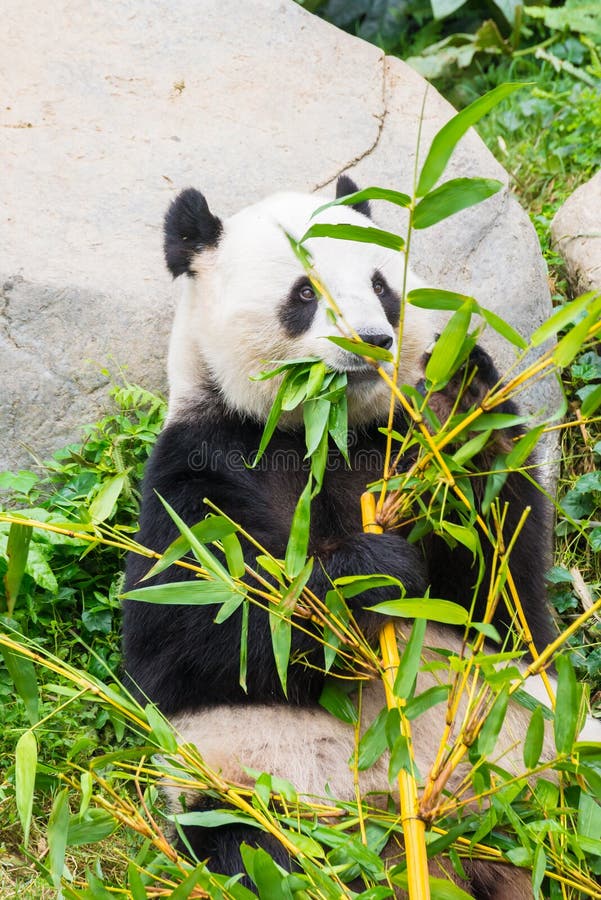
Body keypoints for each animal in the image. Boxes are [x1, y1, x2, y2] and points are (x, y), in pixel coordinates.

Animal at [123, 174, 556, 892]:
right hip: (258, 790)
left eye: (381, 285)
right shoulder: (194, 472)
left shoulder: (398, 440)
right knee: (258, 852)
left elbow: (502, 589)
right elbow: (191, 636)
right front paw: (371, 571)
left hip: (533, 752)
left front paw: (458, 396)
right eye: (305, 293)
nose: (374, 340)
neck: (325, 430)